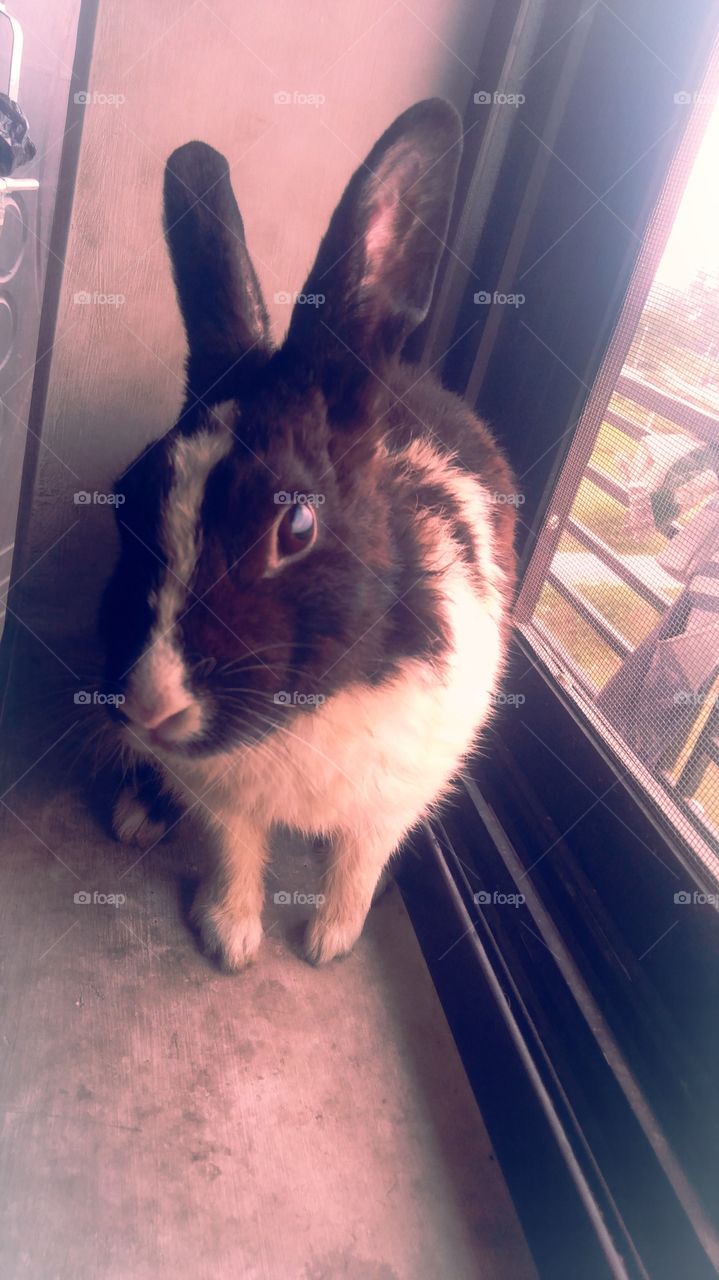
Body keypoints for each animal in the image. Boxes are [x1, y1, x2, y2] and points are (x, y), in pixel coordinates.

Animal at [99, 98, 518, 971]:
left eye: (295, 526)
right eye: (125, 498)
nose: (150, 703)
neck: (301, 712)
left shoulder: (396, 794)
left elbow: (359, 858)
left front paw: (330, 941)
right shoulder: (222, 800)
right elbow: (233, 853)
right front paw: (231, 940)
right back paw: (135, 814)